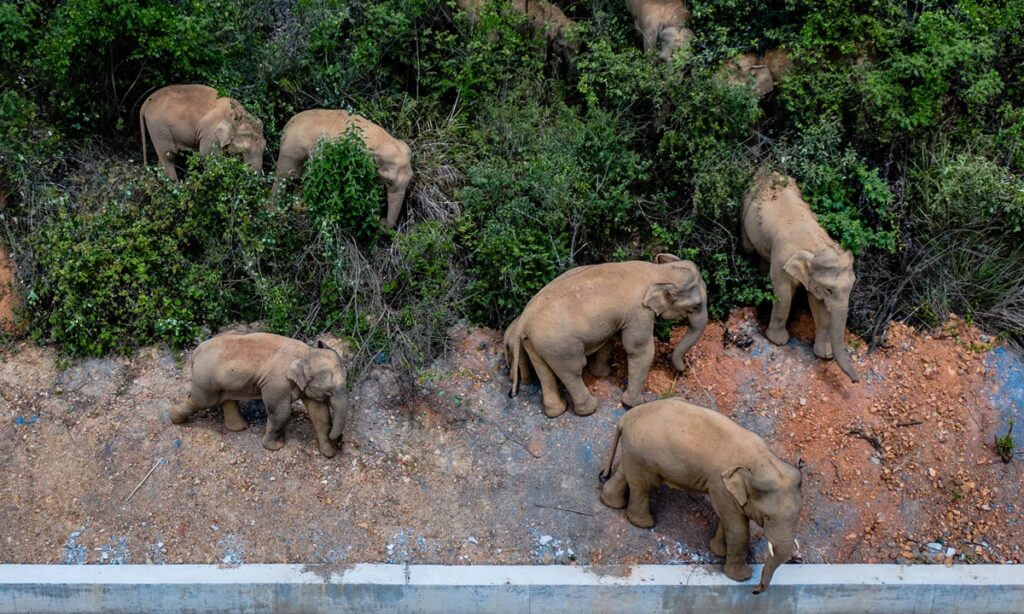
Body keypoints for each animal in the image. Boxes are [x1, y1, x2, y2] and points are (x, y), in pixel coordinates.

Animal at [140, 83, 268, 180]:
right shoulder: (210, 134)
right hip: (159, 127)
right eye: (244, 150)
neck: (234, 117)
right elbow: (209, 157)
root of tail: (146, 102)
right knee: (169, 156)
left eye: (264, 149)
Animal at [172, 331, 352, 456]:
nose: (340, 440)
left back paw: (240, 428)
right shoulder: (277, 384)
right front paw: (275, 447)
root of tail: (196, 351)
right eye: (329, 391)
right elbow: (281, 412)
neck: (306, 352)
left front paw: (329, 454)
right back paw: (173, 417)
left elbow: (319, 413)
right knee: (200, 400)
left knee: (226, 399)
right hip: (205, 379)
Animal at [276, 108, 415, 229]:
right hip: (291, 151)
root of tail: (289, 123)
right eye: (389, 182)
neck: (383, 141)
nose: (382, 220)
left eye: (411, 179)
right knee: (284, 178)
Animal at [501, 253, 704, 417]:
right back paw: (590, 409)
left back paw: (557, 411)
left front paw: (603, 373)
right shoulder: (639, 312)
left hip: (535, 344)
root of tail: (524, 322)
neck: (658, 272)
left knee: (544, 372)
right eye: (695, 307)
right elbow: (640, 350)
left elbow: (609, 339)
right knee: (572, 371)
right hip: (560, 347)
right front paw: (636, 403)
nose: (684, 369)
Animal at [741, 172, 860, 380]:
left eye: (852, 286)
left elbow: (818, 305)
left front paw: (824, 355)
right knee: (749, 249)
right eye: (829, 290)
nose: (855, 381)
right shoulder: (781, 258)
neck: (816, 245)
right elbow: (783, 294)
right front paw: (778, 341)